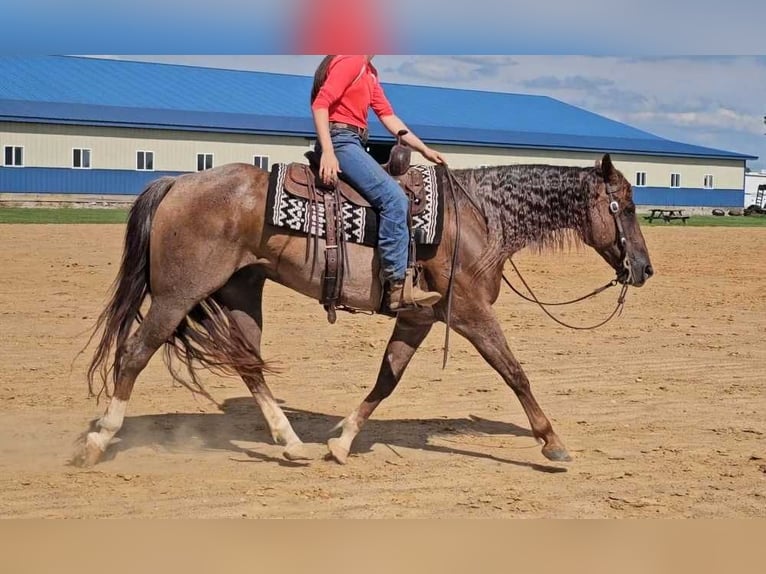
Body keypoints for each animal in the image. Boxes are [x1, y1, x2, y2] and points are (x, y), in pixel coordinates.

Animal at [74, 152, 653, 467]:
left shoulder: (419, 315)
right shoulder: (467, 311)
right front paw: (553, 443)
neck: (480, 215)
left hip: (242, 292)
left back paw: (292, 443)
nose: (644, 268)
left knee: (249, 365)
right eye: (623, 206)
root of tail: (177, 181)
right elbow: (514, 372)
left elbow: (387, 379)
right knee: (135, 353)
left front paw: (342, 441)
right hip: (177, 294)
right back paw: (98, 439)